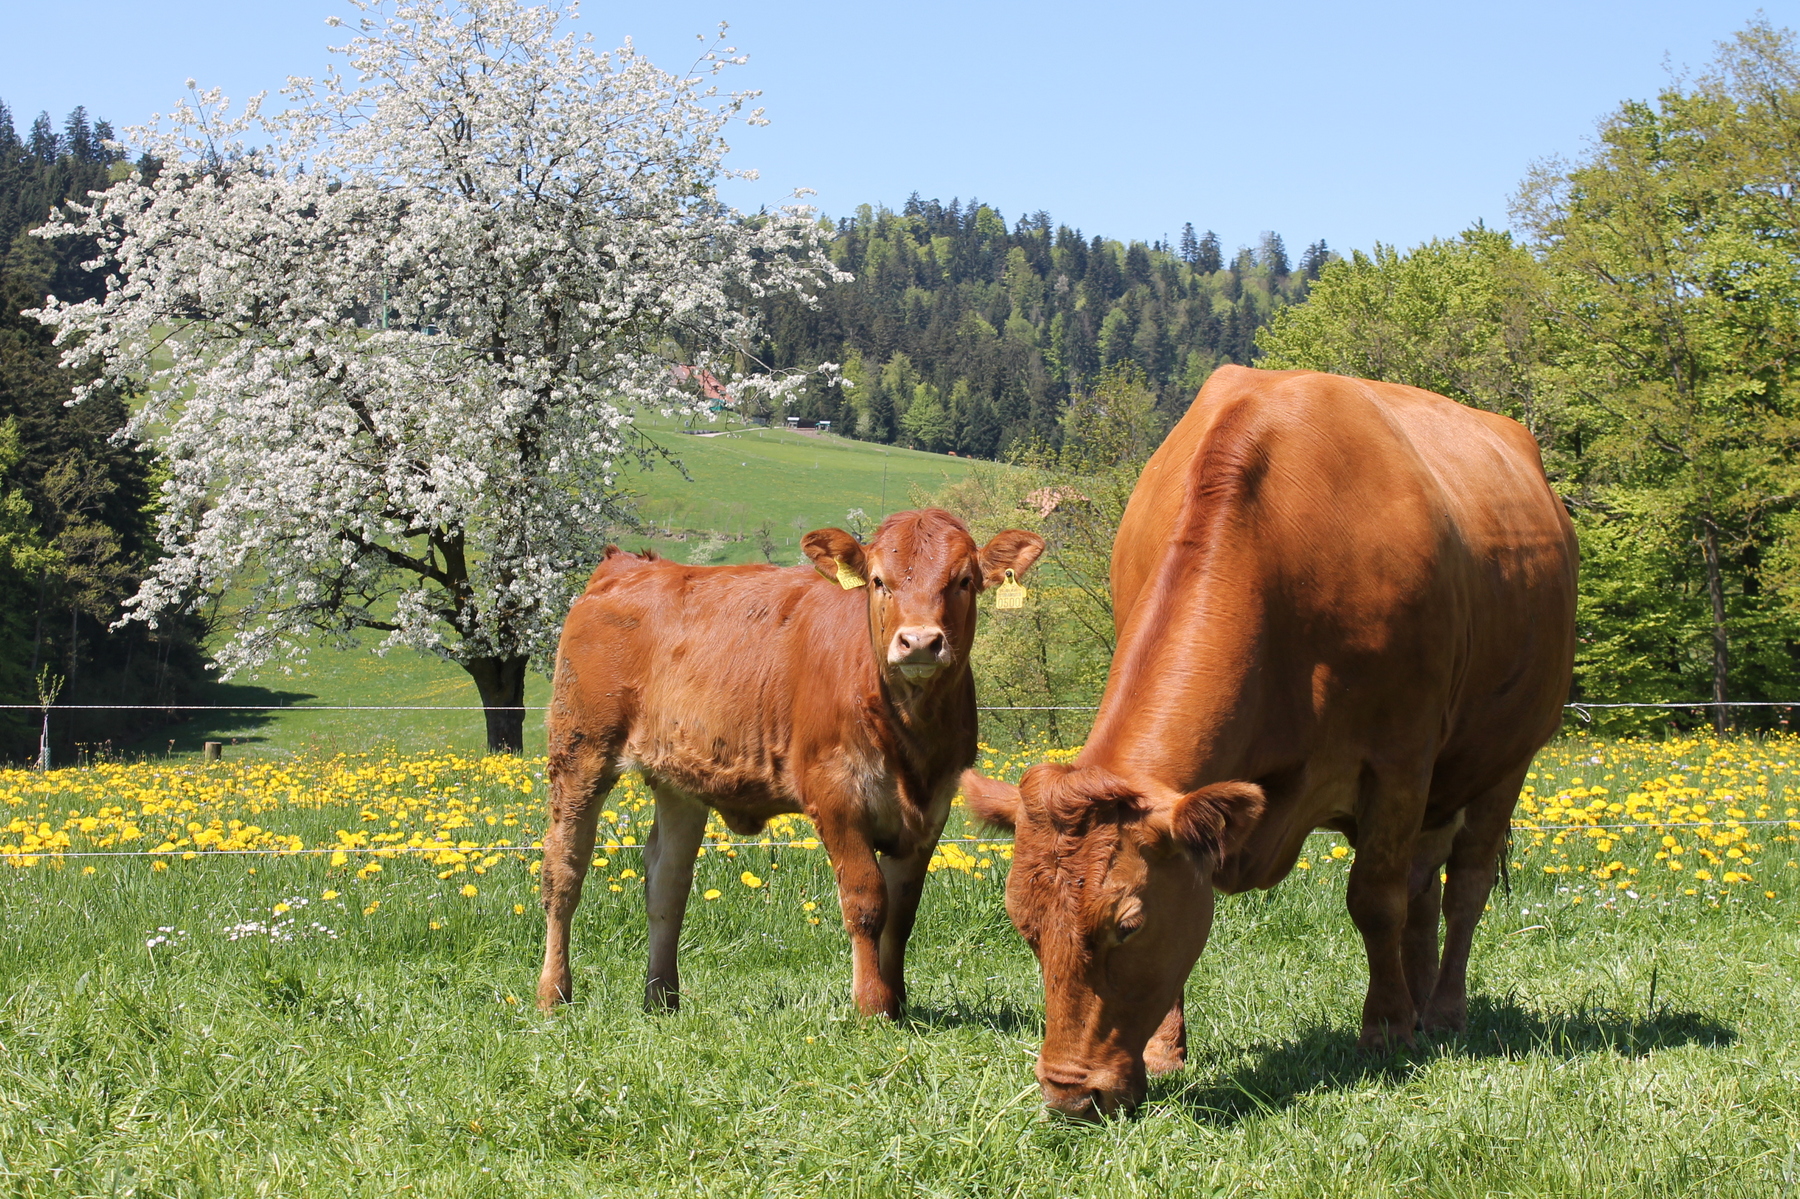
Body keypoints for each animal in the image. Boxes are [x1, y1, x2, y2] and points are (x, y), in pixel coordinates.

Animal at [532, 507, 1044, 1015]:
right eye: (879, 580)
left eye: (963, 580)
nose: (919, 642)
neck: (909, 737)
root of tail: (628, 564)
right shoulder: (835, 794)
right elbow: (866, 901)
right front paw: (871, 1004)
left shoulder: (932, 808)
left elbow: (902, 912)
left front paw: (897, 1002)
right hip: (580, 752)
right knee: (564, 870)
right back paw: (554, 992)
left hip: (680, 781)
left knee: (667, 883)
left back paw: (661, 999)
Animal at [964, 363, 1569, 1108]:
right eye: (1025, 927)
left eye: (1127, 925)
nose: (1070, 1095)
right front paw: (1166, 1051)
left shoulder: (1400, 757)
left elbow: (1376, 898)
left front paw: (1386, 1030)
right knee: (1425, 885)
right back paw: (1424, 1000)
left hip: (1506, 757)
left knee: (1465, 884)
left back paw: (1444, 1011)